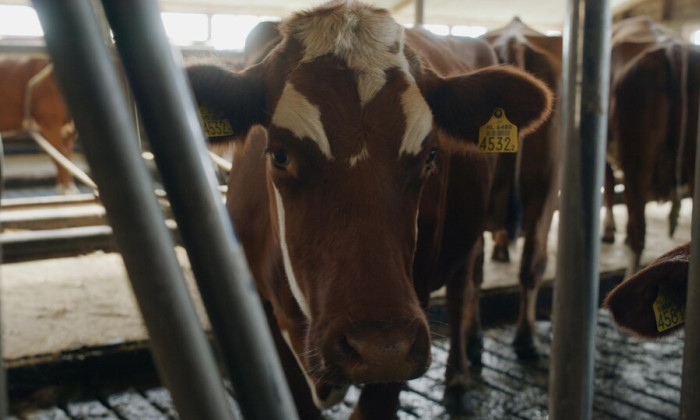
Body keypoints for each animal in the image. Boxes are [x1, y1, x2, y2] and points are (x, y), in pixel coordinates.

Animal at [0, 55, 78, 194]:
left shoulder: (69, 130)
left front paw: (68, 188)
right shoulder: (50, 124)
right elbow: (58, 156)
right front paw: (68, 190)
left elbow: (67, 156)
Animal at [186, 2, 553, 418]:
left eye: (430, 155)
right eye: (279, 154)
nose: (379, 349)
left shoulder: (412, 308)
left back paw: (459, 377)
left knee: (464, 285)